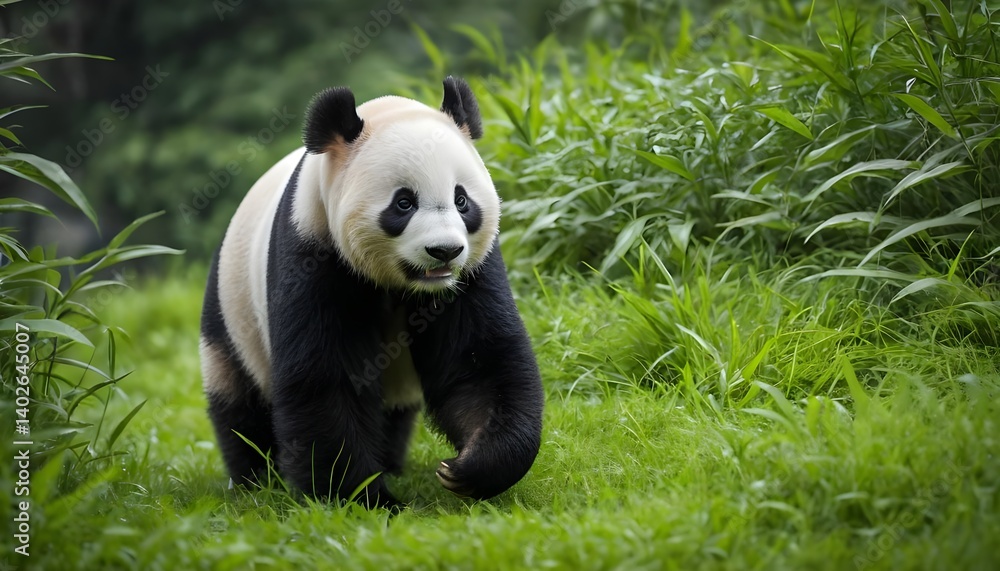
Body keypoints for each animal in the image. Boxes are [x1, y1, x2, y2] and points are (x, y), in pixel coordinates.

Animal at [199, 77, 544, 510]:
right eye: (404, 203)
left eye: (462, 200)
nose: (444, 251)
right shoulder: (314, 252)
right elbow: (328, 376)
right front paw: (364, 497)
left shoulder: (471, 275)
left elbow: (479, 361)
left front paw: (467, 469)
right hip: (232, 311)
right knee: (239, 404)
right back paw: (254, 478)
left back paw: (390, 461)